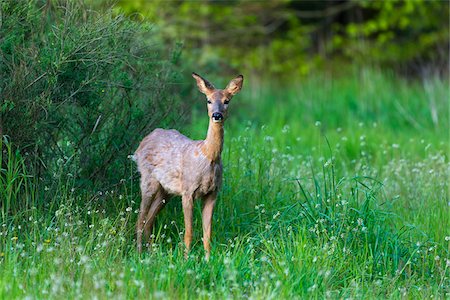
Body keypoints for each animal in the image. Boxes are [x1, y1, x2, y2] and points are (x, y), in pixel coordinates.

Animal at [135, 71, 244, 258]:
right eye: (208, 100)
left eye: (227, 101)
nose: (217, 115)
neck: (208, 157)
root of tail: (143, 142)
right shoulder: (187, 191)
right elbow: (189, 231)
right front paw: (186, 260)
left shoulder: (213, 193)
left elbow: (208, 233)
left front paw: (208, 259)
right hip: (148, 180)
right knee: (140, 219)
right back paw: (139, 253)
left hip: (166, 191)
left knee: (149, 220)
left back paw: (151, 254)